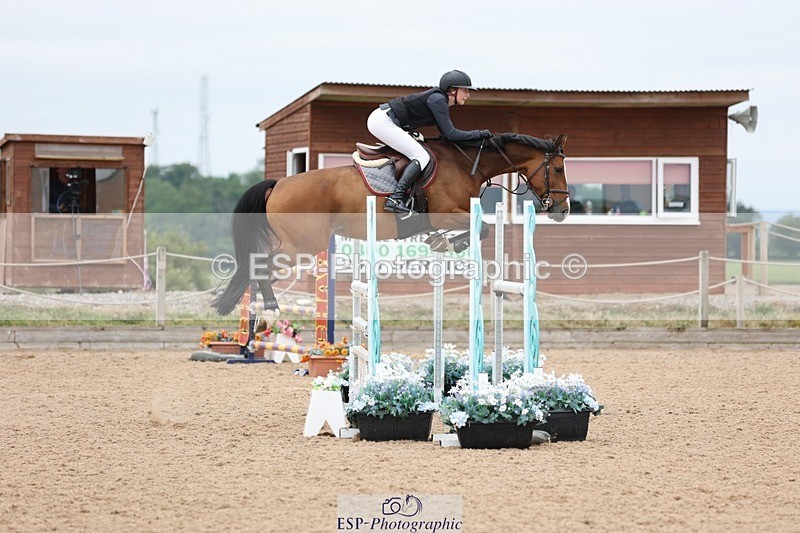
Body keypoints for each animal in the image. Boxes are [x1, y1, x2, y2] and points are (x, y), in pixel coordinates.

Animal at [212, 132, 569, 315]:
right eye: (559, 168)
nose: (562, 210)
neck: (466, 163)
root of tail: (278, 184)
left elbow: (482, 228)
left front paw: (441, 241)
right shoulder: (444, 212)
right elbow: (484, 228)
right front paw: (449, 241)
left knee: (258, 265)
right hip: (303, 244)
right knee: (260, 264)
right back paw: (270, 307)